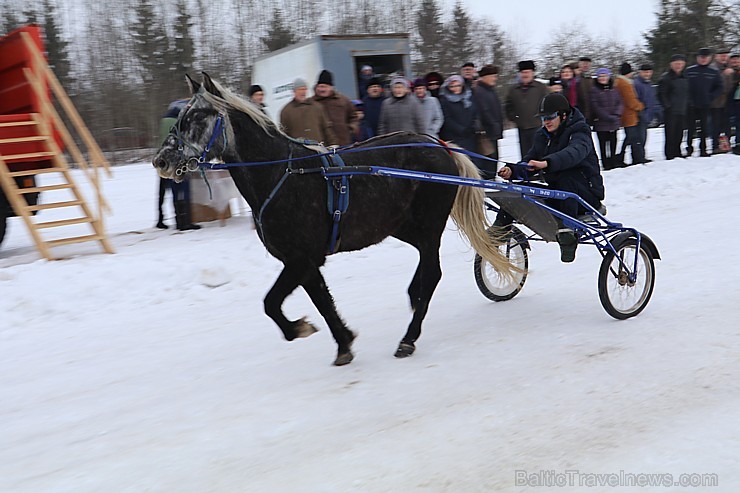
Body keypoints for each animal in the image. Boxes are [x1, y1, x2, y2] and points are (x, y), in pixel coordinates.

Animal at [155, 73, 516, 366]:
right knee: (424, 271)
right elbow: (322, 303)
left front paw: (299, 329)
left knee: (433, 273)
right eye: (181, 114)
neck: (283, 174)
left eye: (197, 115)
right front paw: (344, 343)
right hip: (401, 226)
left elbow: (271, 303)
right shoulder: (305, 262)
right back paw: (412, 298)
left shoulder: (300, 259)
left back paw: (409, 337)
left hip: (428, 225)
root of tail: (439, 144)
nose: (162, 160)